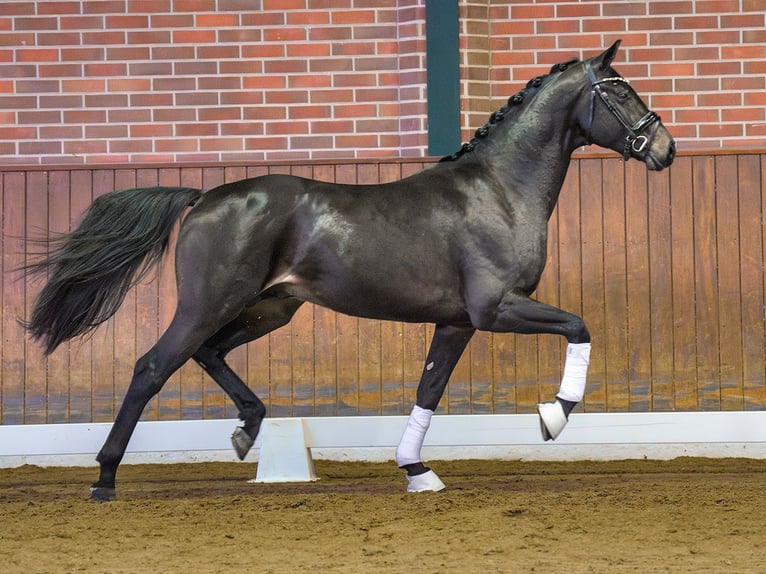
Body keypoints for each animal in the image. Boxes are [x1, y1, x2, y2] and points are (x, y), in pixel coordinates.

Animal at [24, 40, 676, 502]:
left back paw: (247, 429)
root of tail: (205, 196)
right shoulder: (495, 308)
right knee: (152, 367)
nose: (664, 149)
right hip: (210, 301)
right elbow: (579, 326)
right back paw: (105, 479)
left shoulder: (457, 322)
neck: (498, 191)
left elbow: (429, 389)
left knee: (209, 353)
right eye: (619, 94)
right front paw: (552, 418)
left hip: (269, 308)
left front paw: (417, 470)